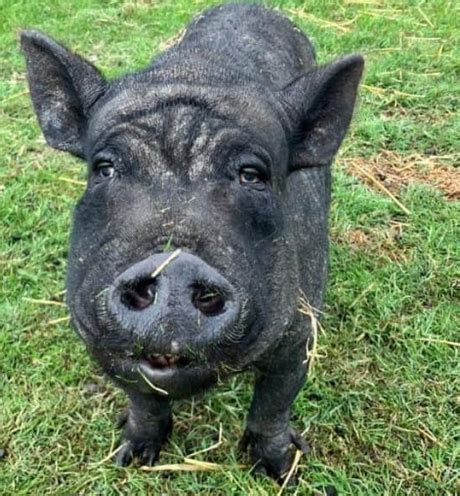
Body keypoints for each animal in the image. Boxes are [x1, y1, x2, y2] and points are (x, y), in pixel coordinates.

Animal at [20, 3, 362, 482]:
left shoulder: (301, 331)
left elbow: (274, 403)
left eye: (252, 175)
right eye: (104, 168)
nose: (175, 263)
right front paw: (130, 457)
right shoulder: (96, 336)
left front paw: (283, 471)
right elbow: (142, 400)